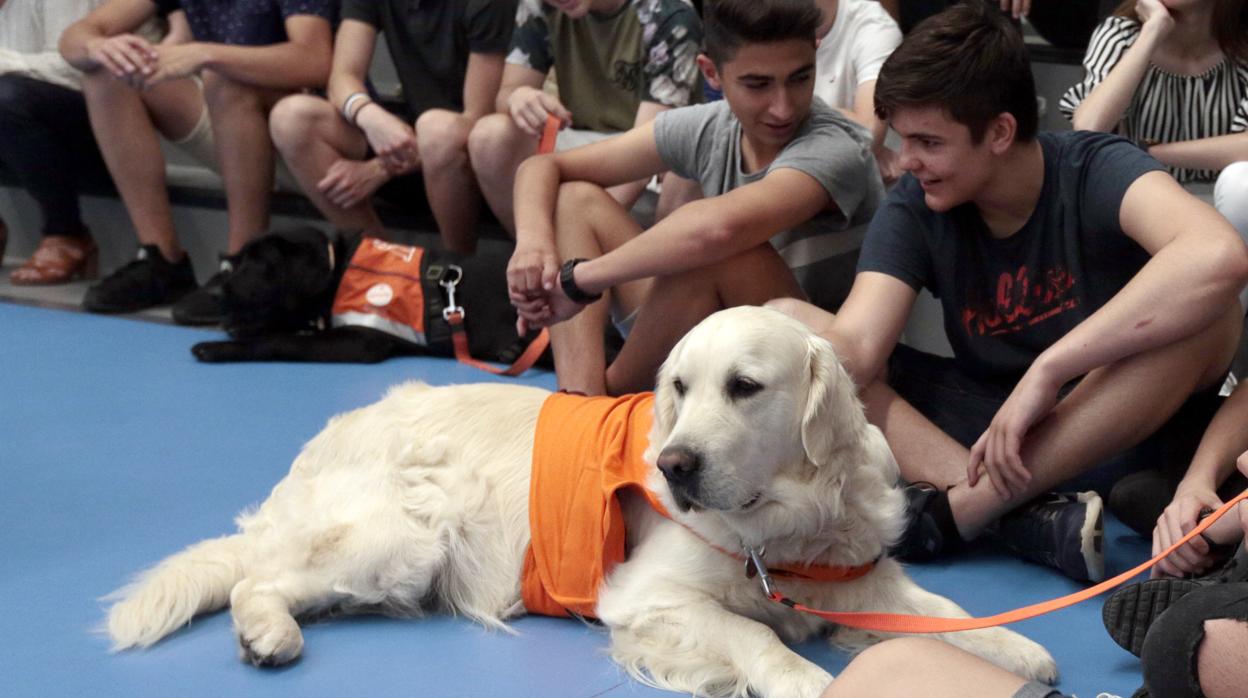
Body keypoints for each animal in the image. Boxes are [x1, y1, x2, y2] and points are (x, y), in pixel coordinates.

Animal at [106, 306, 1056, 696]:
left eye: (745, 388)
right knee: (253, 578)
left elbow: (943, 611)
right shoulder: (646, 597)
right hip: (398, 538)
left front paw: (1019, 648)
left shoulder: (861, 578)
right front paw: (800, 678)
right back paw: (269, 635)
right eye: (678, 387)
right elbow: (750, 632)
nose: (674, 465)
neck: (783, 520)